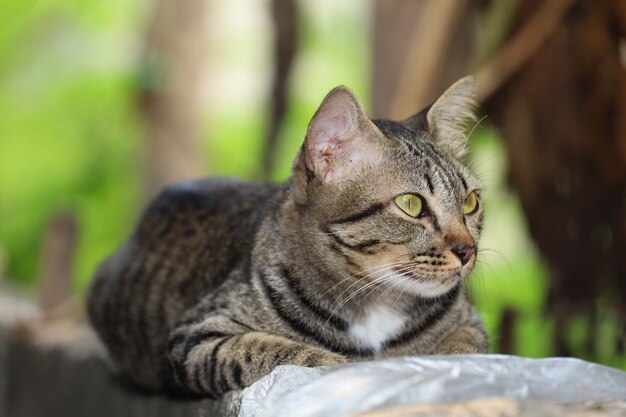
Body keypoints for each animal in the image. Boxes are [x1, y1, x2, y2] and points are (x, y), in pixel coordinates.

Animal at [88, 76, 488, 398]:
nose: (467, 250)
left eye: (470, 202)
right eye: (411, 204)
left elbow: (464, 349)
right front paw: (352, 369)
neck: (378, 305)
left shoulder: (470, 323)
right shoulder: (193, 339)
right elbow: (279, 351)